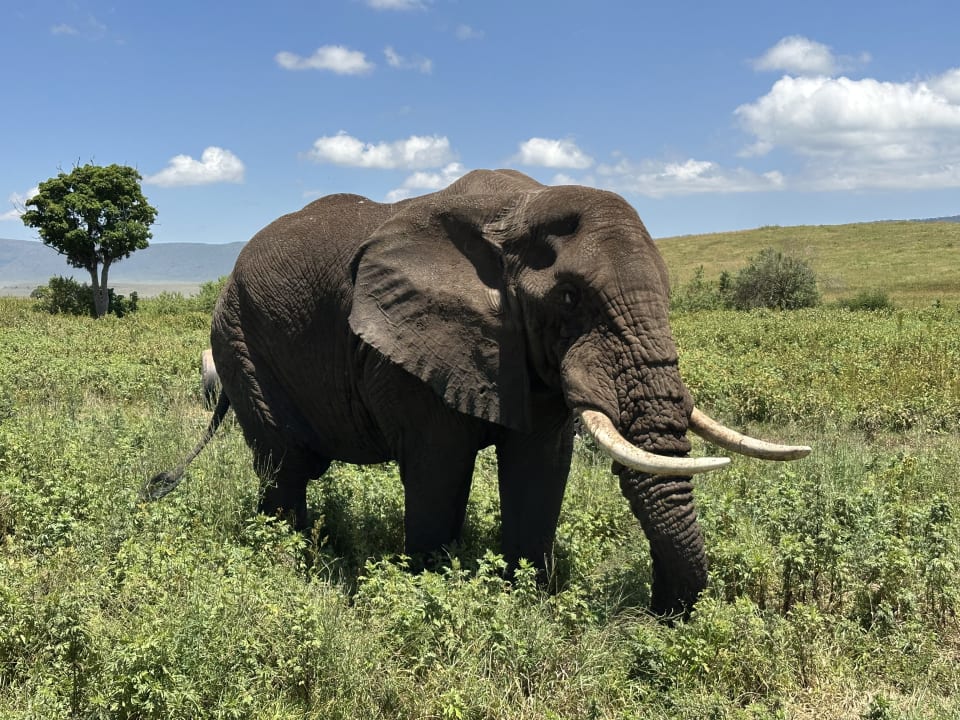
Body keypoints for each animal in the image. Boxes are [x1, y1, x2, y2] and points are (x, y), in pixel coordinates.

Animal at [146, 169, 809, 618]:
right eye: (570, 298)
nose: (658, 613)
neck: (519, 211)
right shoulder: (413, 349)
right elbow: (439, 471)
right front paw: (430, 590)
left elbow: (540, 469)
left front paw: (527, 600)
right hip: (240, 340)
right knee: (284, 467)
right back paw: (289, 561)